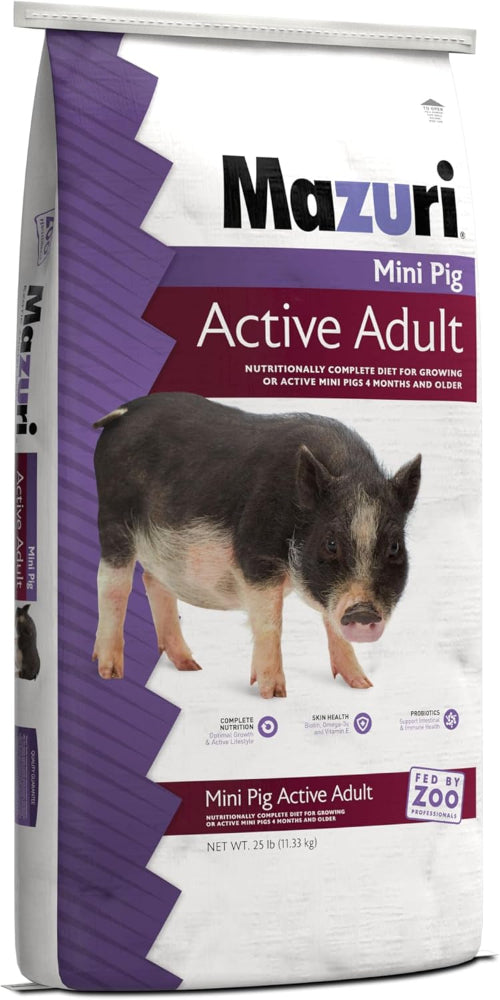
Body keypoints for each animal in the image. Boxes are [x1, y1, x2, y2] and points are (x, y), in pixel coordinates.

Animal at [92, 393, 421, 697]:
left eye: (394, 547)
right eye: (330, 543)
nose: (363, 613)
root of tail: (123, 411)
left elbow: (332, 623)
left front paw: (363, 685)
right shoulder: (256, 554)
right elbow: (270, 622)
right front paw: (273, 694)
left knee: (153, 581)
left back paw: (190, 666)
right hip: (113, 517)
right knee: (112, 584)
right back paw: (110, 672)